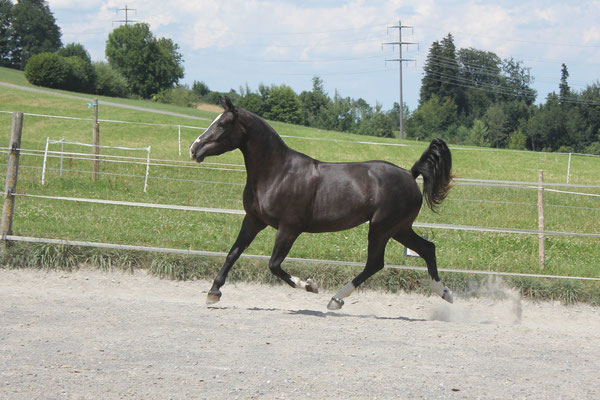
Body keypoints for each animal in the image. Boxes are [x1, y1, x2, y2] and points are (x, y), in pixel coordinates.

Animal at [190, 97, 452, 310]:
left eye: (222, 124)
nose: (194, 149)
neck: (277, 172)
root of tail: (410, 174)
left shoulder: (289, 228)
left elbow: (274, 265)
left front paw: (309, 285)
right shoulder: (253, 220)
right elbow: (233, 253)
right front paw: (213, 293)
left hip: (381, 228)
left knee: (376, 263)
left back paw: (335, 299)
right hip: (399, 229)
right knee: (427, 249)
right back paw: (444, 292)